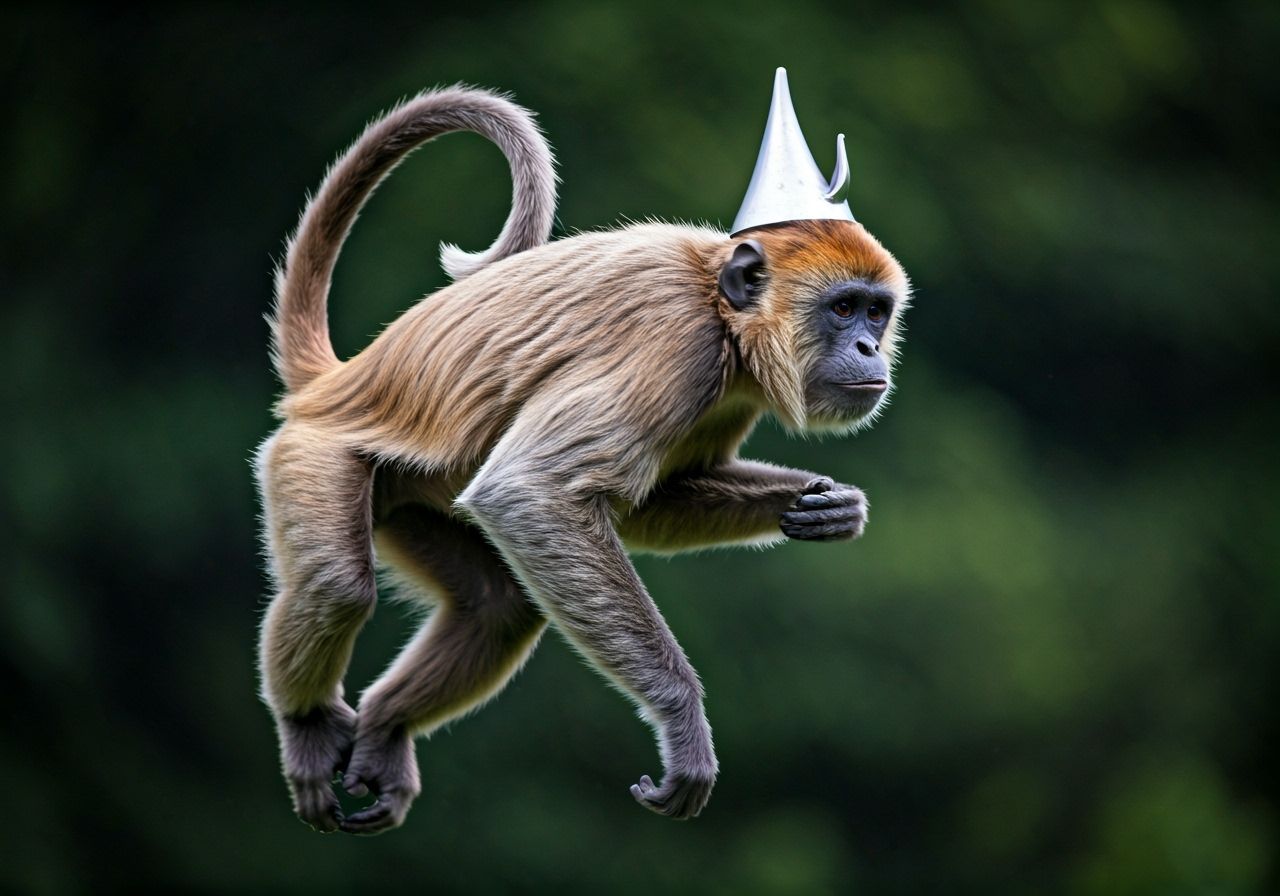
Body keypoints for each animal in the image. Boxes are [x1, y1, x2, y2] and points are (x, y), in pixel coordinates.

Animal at [256, 84, 909, 835]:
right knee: (341, 583)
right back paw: (306, 724)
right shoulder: (674, 342)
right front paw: (681, 718)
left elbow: (652, 502)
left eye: (876, 313)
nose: (869, 348)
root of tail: (336, 384)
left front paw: (819, 505)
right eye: (843, 309)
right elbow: (529, 492)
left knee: (500, 607)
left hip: (404, 493)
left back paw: (386, 727)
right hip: (314, 455)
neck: (719, 307)